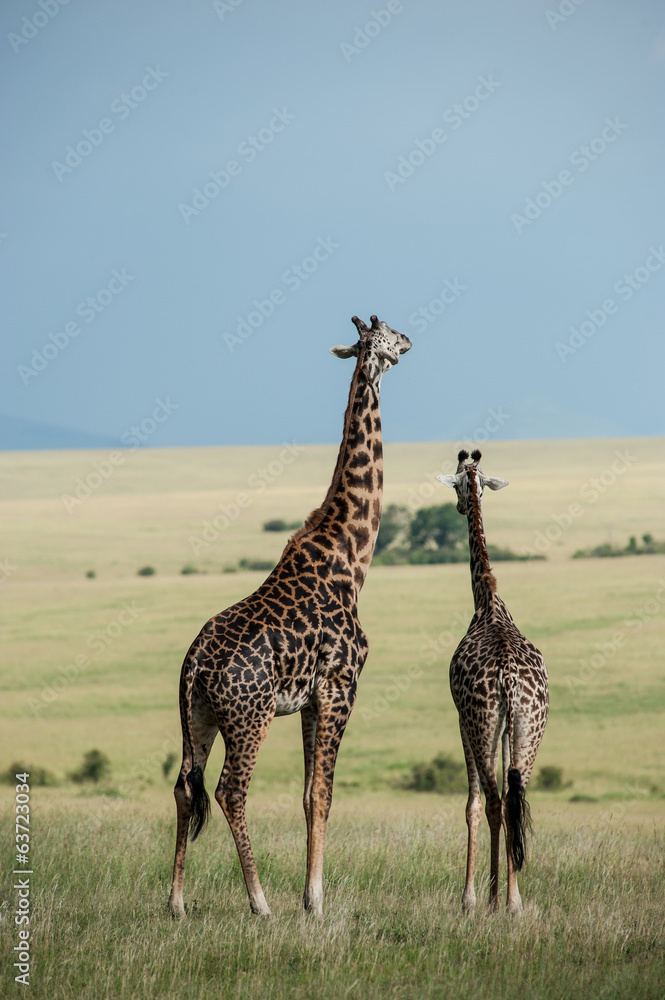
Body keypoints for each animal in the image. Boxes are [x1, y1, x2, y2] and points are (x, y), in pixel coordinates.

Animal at [168, 315, 411, 919]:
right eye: (388, 333)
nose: (410, 343)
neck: (353, 554)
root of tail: (194, 663)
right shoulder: (341, 685)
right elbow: (322, 792)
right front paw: (315, 902)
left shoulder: (309, 699)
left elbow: (306, 794)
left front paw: (310, 895)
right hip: (248, 717)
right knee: (229, 790)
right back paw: (259, 902)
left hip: (199, 715)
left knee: (185, 786)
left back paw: (177, 903)